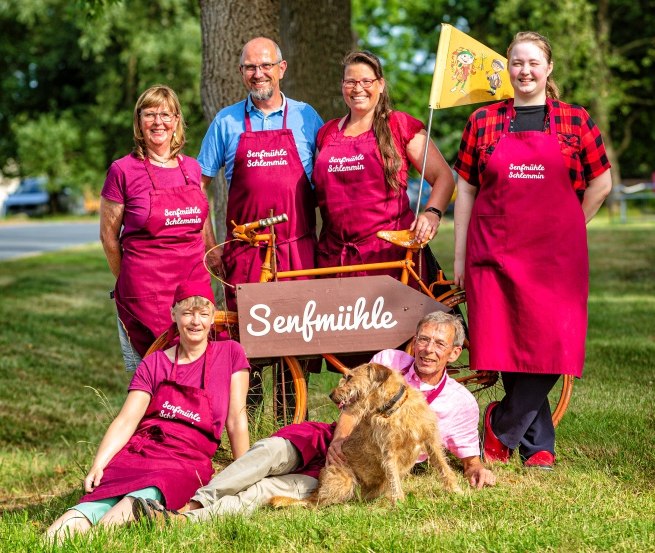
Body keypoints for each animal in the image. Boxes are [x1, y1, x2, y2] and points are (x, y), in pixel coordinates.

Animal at [270, 360, 458, 506]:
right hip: (344, 482)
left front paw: (457, 491)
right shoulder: (389, 452)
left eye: (349, 377)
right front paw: (399, 503)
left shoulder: (430, 440)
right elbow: (394, 479)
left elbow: (444, 467)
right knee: (314, 504)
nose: (331, 395)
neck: (393, 409)